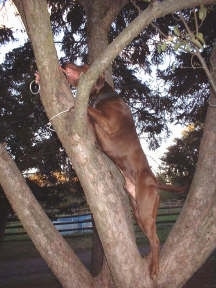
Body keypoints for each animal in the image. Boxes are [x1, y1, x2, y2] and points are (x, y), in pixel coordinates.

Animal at [61, 62, 159, 276]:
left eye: (83, 65)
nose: (64, 62)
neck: (104, 96)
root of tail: (155, 184)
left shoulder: (107, 122)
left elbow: (90, 109)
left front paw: (75, 105)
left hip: (145, 210)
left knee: (155, 240)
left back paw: (154, 268)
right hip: (138, 211)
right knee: (152, 237)